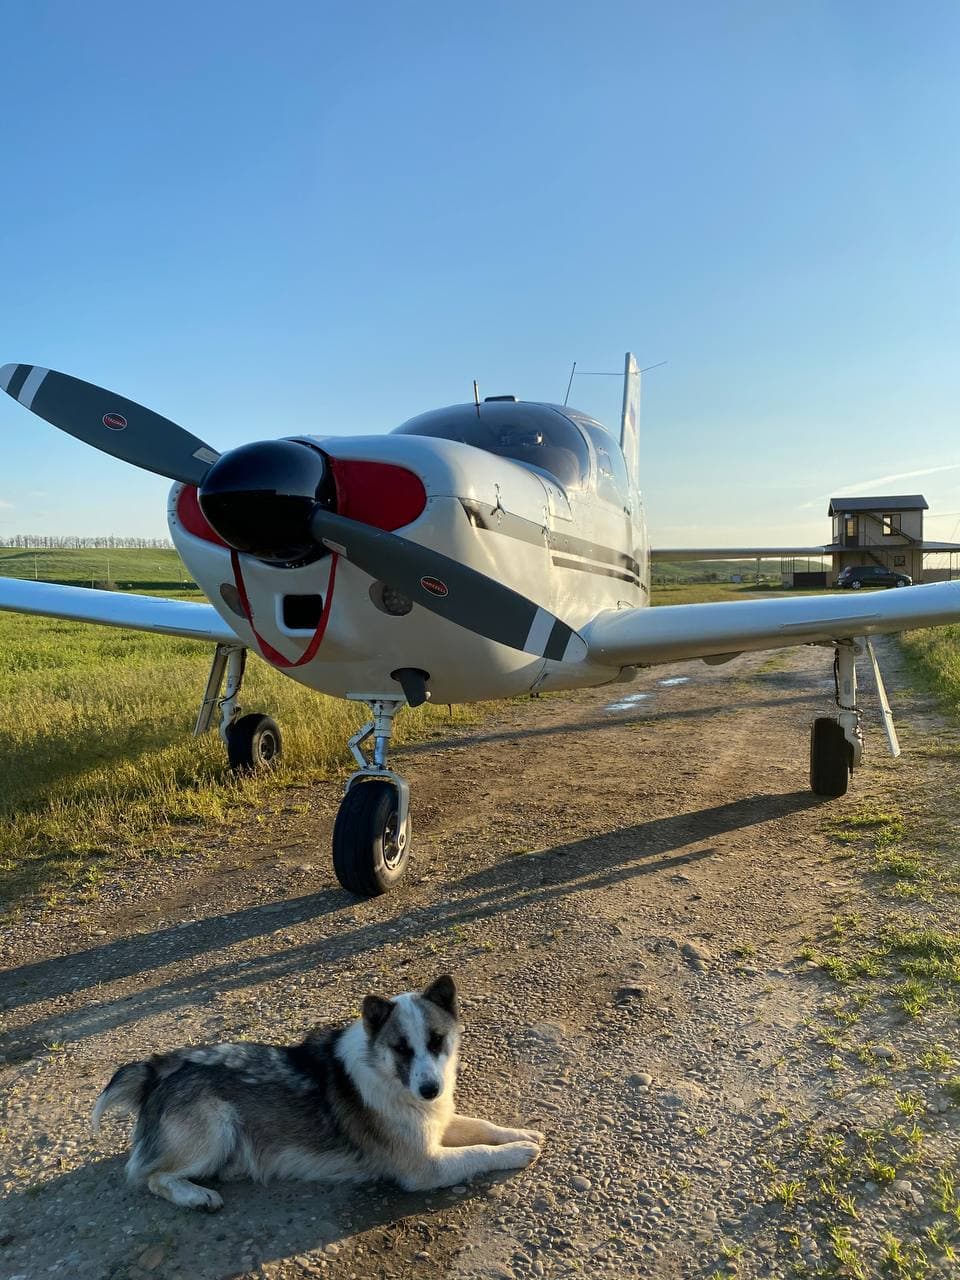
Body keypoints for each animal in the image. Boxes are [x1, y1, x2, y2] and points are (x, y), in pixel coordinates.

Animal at [94, 977, 545, 1208]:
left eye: (436, 1040)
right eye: (401, 1048)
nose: (430, 1089)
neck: (386, 1074)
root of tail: (156, 1069)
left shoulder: (437, 1123)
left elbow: (481, 1126)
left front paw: (520, 1133)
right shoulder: (426, 1166)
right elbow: (477, 1153)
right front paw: (517, 1151)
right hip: (216, 1129)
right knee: (153, 1177)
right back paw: (195, 1195)